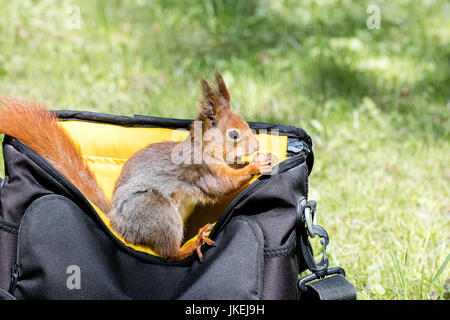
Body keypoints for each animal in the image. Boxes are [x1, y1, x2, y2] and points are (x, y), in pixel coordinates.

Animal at [0, 72, 278, 262]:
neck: (204, 148)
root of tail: (116, 221)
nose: (255, 144)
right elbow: (221, 185)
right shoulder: (200, 171)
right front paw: (254, 165)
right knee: (168, 254)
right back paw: (191, 244)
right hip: (154, 210)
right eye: (234, 134)